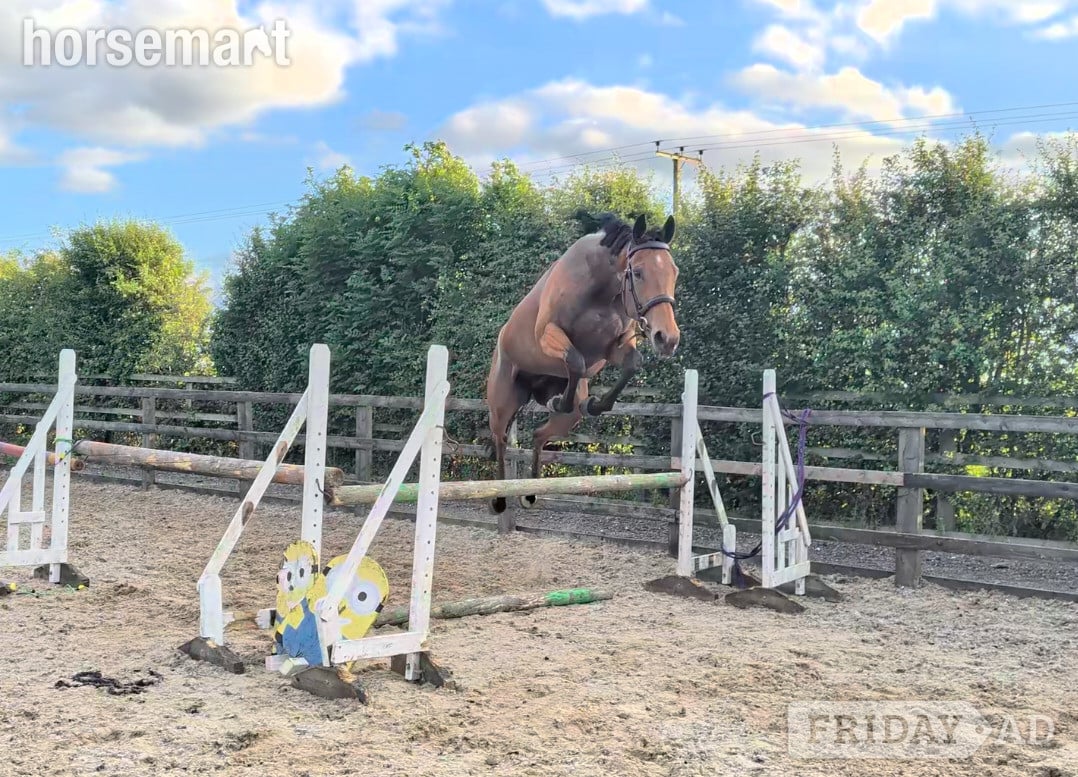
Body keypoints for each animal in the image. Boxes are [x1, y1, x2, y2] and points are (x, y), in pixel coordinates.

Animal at [484, 212, 681, 514]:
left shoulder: (614, 347)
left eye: (674, 273)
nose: (667, 339)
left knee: (540, 435)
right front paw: (562, 401)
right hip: (502, 402)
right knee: (501, 440)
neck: (602, 287)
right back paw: (500, 498)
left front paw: (596, 405)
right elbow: (575, 361)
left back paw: (530, 492)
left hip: (568, 420)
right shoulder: (548, 335)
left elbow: (632, 363)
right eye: (637, 273)